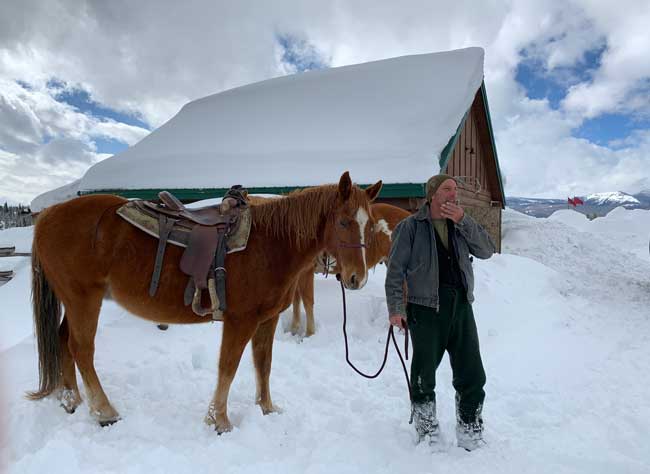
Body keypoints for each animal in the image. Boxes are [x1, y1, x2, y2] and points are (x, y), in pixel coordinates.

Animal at [29, 172, 380, 432]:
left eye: (370, 223)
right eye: (344, 222)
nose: (356, 279)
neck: (270, 243)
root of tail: (47, 216)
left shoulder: (266, 319)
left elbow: (263, 364)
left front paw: (266, 409)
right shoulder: (240, 321)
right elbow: (228, 366)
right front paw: (219, 420)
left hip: (75, 301)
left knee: (63, 341)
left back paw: (71, 401)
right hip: (83, 299)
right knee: (81, 349)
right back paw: (104, 411)